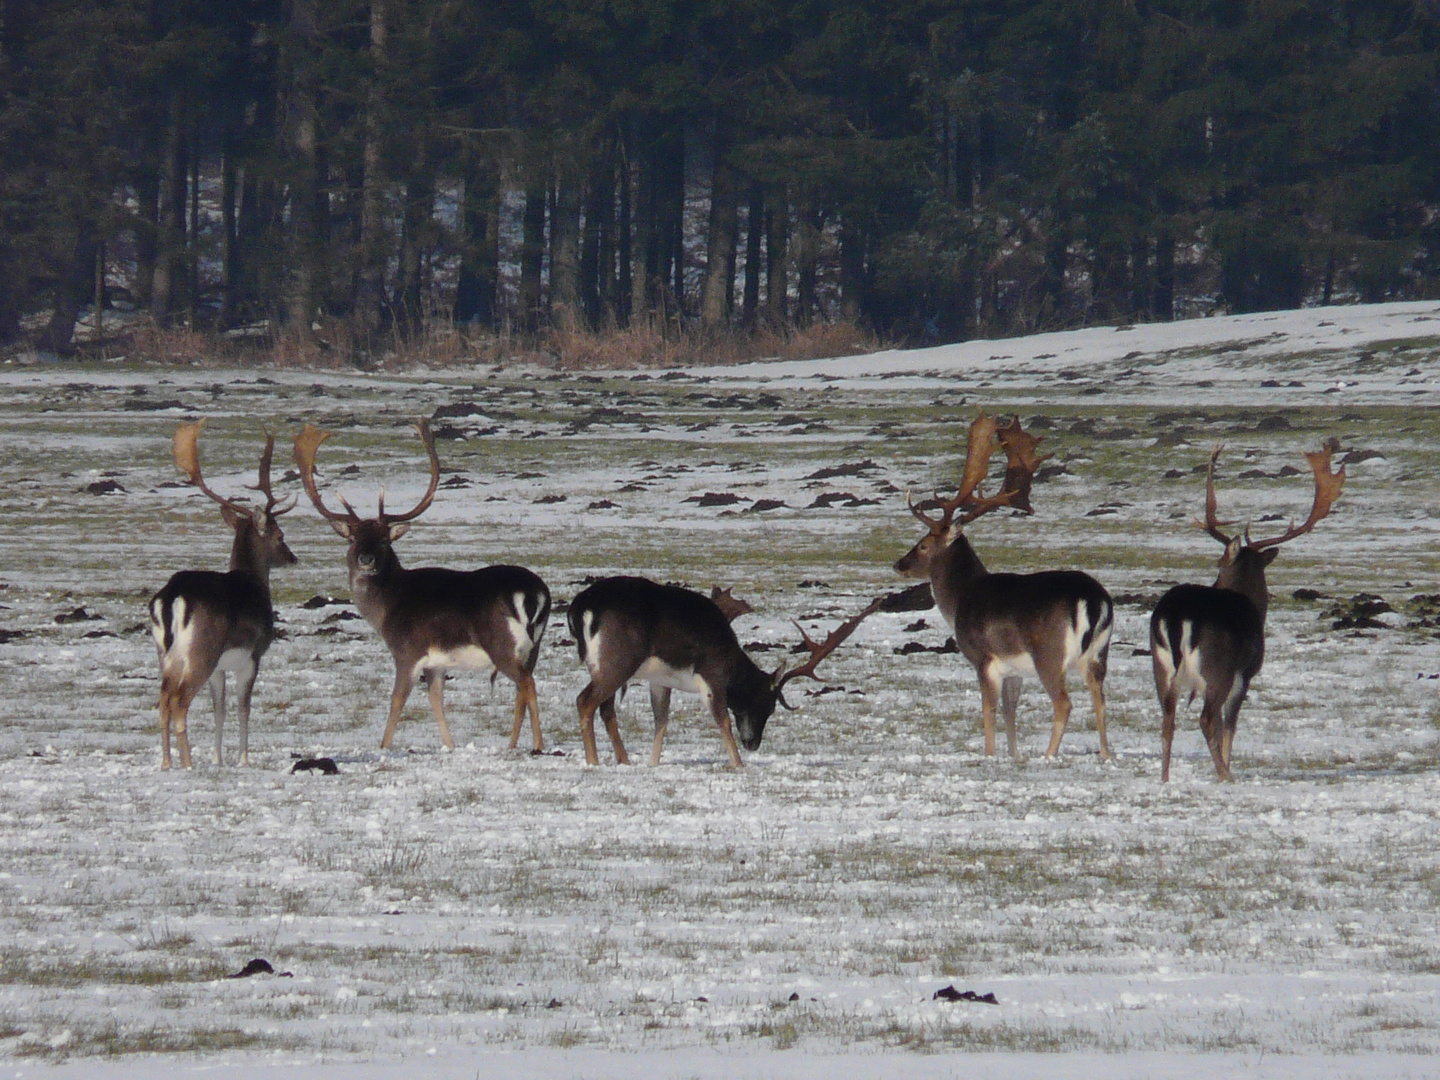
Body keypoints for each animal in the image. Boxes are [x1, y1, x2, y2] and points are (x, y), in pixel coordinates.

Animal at [148, 420, 295, 771]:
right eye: (279, 535)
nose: (292, 557)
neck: (254, 581)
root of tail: (170, 599)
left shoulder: (220, 668)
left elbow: (220, 709)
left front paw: (217, 758)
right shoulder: (253, 655)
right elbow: (243, 708)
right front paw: (243, 759)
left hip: (166, 654)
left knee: (162, 700)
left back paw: (167, 762)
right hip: (203, 649)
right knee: (179, 701)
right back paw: (187, 763)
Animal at [292, 420, 550, 754]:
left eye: (384, 540)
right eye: (353, 538)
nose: (366, 559)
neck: (387, 608)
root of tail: (534, 594)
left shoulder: (407, 651)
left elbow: (397, 700)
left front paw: (384, 746)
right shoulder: (437, 663)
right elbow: (436, 700)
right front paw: (450, 745)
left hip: (501, 643)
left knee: (526, 683)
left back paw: (537, 744)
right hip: (534, 646)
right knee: (524, 684)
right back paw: (513, 743)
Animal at [567, 578, 869, 766]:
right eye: (769, 705)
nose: (753, 743)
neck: (732, 661)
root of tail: (580, 609)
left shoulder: (660, 679)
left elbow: (661, 721)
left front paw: (652, 764)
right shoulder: (712, 674)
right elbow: (722, 720)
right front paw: (738, 764)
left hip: (602, 665)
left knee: (606, 709)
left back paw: (623, 760)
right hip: (619, 660)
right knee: (584, 700)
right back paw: (593, 761)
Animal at [892, 414, 1117, 760]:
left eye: (924, 544)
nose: (899, 564)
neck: (960, 599)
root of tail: (1094, 601)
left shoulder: (984, 658)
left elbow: (989, 710)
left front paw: (990, 754)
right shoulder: (1014, 669)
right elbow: (1011, 711)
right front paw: (1014, 755)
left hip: (1049, 652)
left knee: (1064, 703)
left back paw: (1049, 755)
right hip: (1099, 654)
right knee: (1101, 699)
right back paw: (1105, 755)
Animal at [1152, 443, 1342, 783]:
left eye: (1218, 565)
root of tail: (1176, 619)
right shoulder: (1247, 673)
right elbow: (1229, 726)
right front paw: (1227, 768)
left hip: (1160, 667)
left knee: (1167, 720)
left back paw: (1165, 779)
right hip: (1218, 668)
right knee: (1206, 719)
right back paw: (1225, 775)